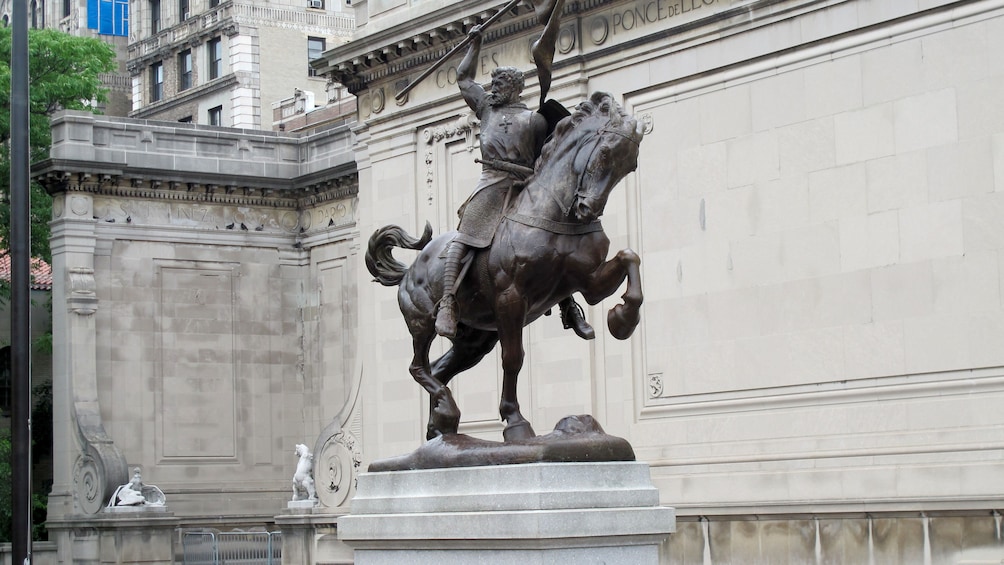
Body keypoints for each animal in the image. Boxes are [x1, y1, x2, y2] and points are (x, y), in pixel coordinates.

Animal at [367, 92, 642, 441]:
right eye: (605, 152)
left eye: (630, 165)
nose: (587, 209)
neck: (555, 213)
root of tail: (408, 272)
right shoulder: (510, 298)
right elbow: (513, 359)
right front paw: (515, 420)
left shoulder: (589, 282)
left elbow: (630, 257)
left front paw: (623, 319)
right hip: (422, 323)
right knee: (418, 367)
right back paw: (446, 413)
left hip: (475, 339)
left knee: (439, 369)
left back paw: (440, 427)